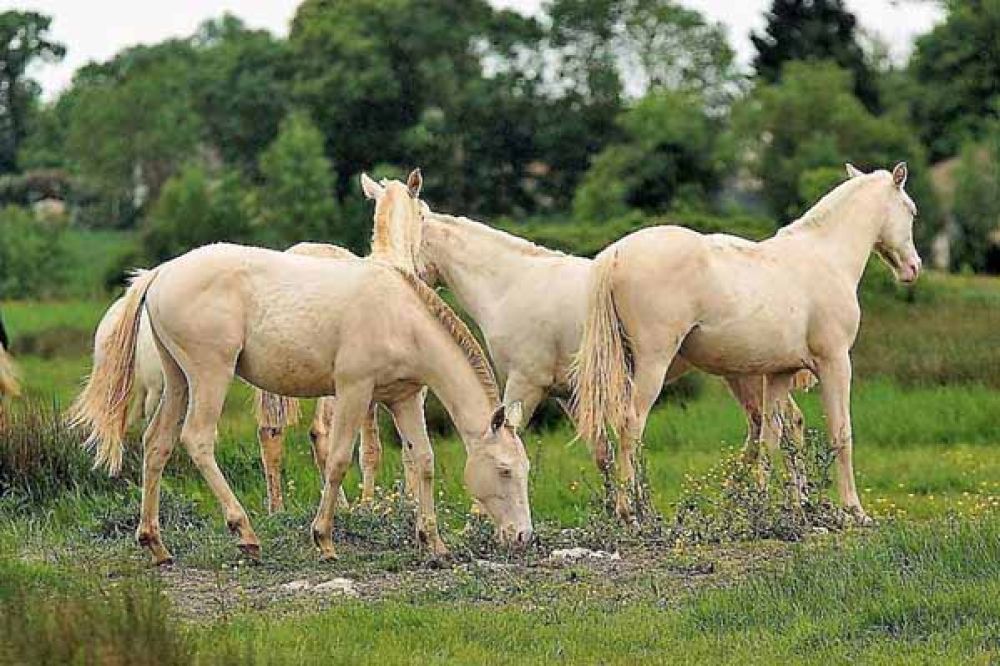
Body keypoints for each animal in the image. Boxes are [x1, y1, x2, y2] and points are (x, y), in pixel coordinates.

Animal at [69, 181, 532, 565]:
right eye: (505, 470)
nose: (525, 537)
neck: (400, 315)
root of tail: (160, 271)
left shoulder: (402, 398)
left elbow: (423, 461)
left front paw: (433, 541)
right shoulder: (353, 391)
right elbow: (339, 460)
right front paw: (324, 538)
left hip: (178, 380)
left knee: (157, 444)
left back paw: (155, 543)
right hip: (209, 376)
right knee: (197, 440)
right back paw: (245, 533)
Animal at [395, 185, 814, 518]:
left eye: (410, 233)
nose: (401, 278)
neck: (512, 285)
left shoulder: (526, 385)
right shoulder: (567, 393)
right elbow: (601, 454)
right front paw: (617, 507)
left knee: (775, 425)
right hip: (741, 371)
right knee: (781, 423)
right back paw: (794, 503)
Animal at [572, 163, 921, 524]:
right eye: (911, 211)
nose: (913, 268)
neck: (825, 257)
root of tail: (614, 255)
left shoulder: (779, 373)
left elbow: (772, 436)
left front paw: (765, 504)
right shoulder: (835, 362)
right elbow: (841, 432)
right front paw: (854, 510)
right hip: (653, 364)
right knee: (631, 424)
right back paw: (630, 510)